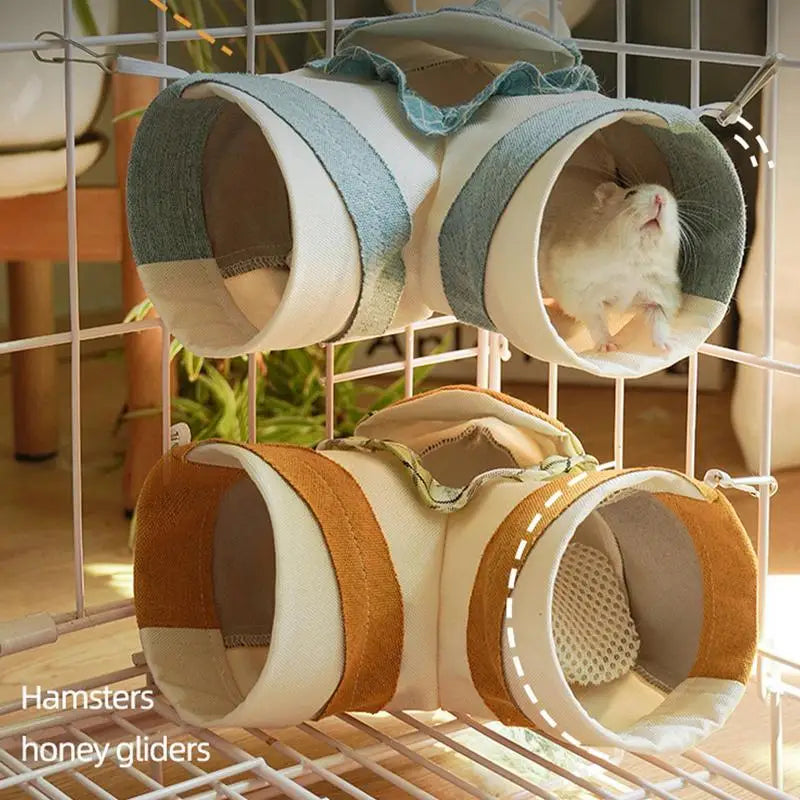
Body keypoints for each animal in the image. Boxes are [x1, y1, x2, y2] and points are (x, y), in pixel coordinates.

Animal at [539, 175, 682, 353]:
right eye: (630, 193)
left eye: (671, 196)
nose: (660, 198)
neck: (634, 259)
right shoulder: (584, 294)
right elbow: (597, 321)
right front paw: (610, 347)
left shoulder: (657, 293)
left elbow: (658, 319)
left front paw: (668, 348)